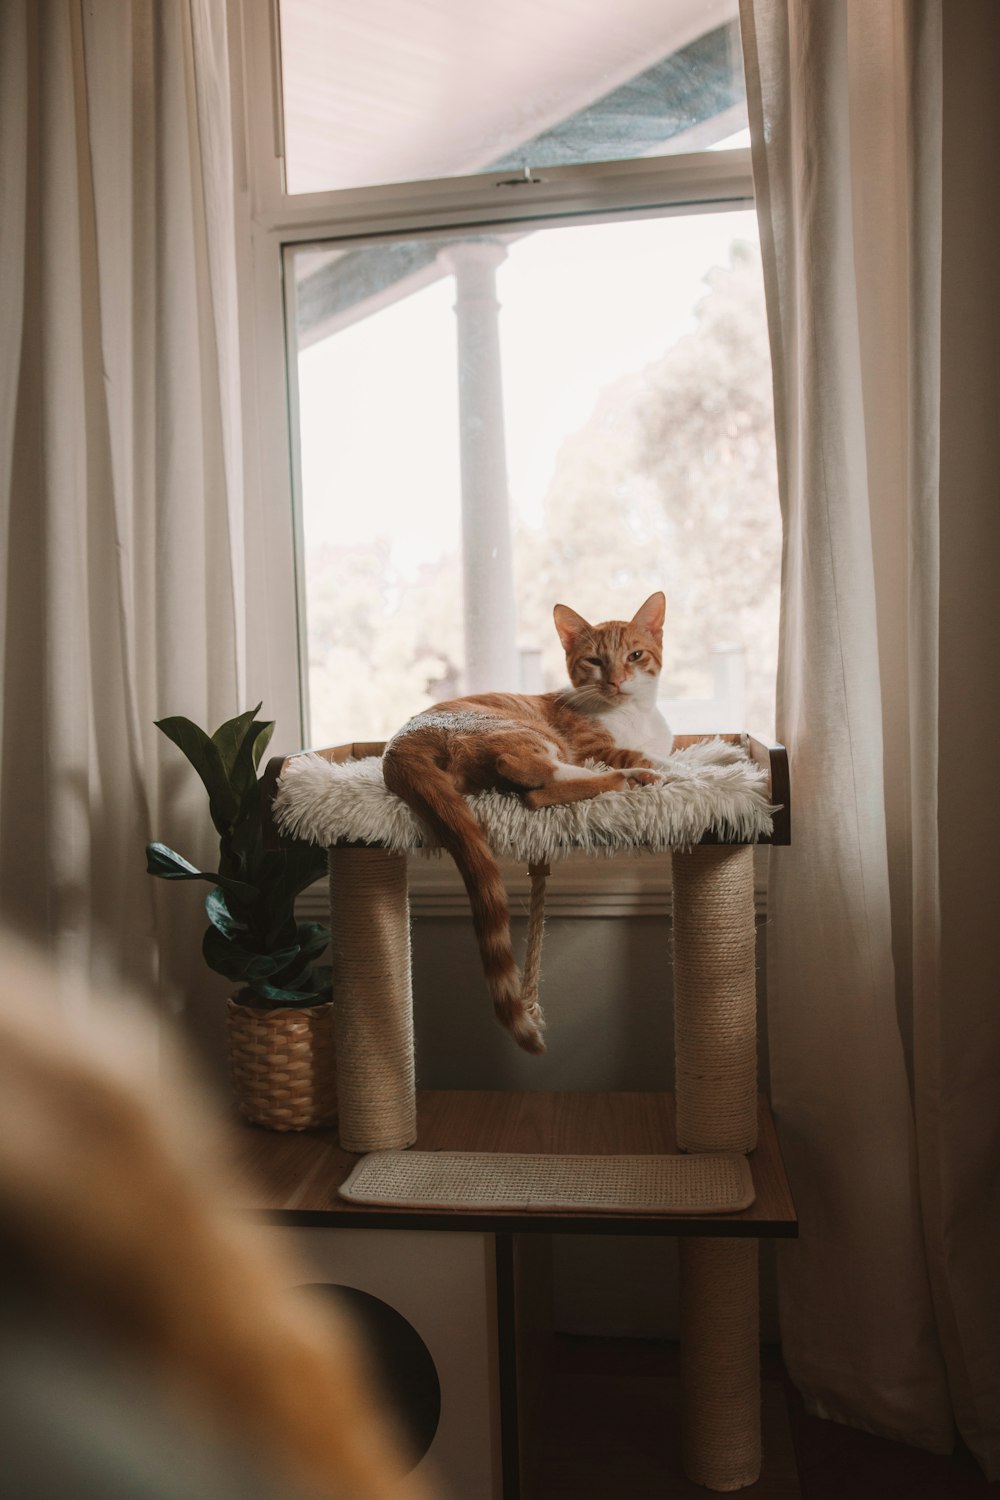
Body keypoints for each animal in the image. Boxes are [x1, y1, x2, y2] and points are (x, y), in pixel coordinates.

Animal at [383, 594, 671, 1056]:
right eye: (594, 661)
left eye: (635, 656)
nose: (616, 681)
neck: (633, 715)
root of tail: (398, 743)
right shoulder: (594, 748)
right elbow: (654, 756)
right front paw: (688, 764)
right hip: (526, 733)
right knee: (532, 779)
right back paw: (629, 779)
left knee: (529, 787)